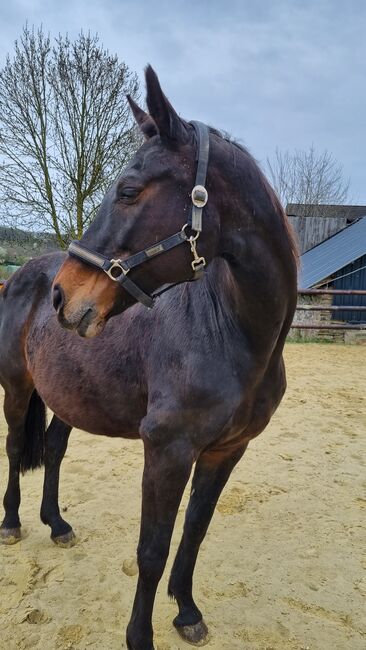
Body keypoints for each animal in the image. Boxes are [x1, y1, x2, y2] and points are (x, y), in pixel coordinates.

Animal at [0, 67, 298, 648]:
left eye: (129, 190)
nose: (63, 297)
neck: (231, 331)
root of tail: (23, 275)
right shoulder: (167, 449)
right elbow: (151, 550)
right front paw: (141, 635)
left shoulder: (225, 451)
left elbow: (194, 533)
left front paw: (186, 611)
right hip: (17, 388)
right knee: (13, 447)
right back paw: (12, 524)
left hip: (68, 397)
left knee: (53, 450)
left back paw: (57, 524)